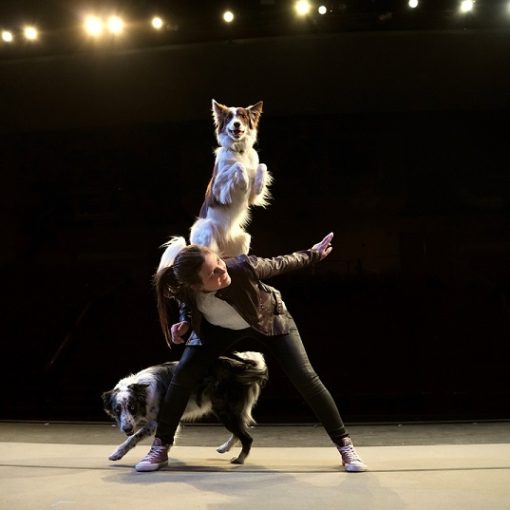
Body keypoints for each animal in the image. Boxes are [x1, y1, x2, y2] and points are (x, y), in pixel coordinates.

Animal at [102, 351, 268, 465]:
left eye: (132, 407)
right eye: (117, 410)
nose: (127, 428)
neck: (142, 390)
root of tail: (241, 366)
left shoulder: (157, 421)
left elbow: (134, 438)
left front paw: (118, 453)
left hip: (225, 411)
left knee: (247, 437)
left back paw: (239, 459)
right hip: (225, 410)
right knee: (240, 431)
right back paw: (225, 447)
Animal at [158, 100, 272, 270]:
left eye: (243, 116)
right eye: (229, 117)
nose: (236, 124)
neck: (239, 151)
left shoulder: (251, 195)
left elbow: (262, 166)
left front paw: (258, 184)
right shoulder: (217, 189)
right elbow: (237, 166)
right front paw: (244, 181)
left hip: (244, 238)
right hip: (207, 230)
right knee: (211, 254)